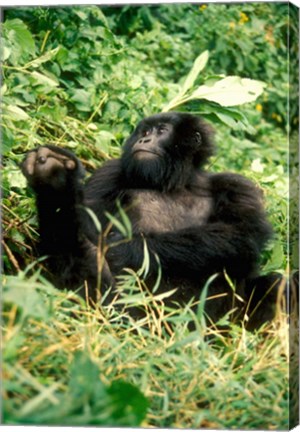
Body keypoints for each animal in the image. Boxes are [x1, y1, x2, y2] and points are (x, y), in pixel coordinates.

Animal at [21, 113, 282, 330]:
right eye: (145, 132)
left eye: (161, 131)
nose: (144, 140)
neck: (175, 182)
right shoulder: (108, 174)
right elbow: (89, 230)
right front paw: (56, 185)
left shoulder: (237, 187)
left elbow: (242, 236)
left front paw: (127, 250)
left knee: (275, 282)